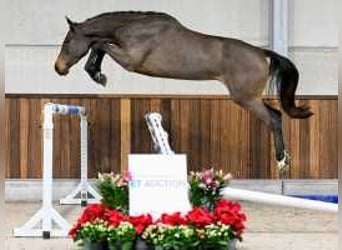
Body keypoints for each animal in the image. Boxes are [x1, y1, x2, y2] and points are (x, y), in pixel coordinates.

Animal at [53, 10, 312, 174]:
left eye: (67, 42)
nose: (58, 68)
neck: (133, 28)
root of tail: (262, 53)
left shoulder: (130, 60)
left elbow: (99, 44)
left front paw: (96, 73)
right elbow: (100, 45)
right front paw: (97, 72)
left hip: (245, 98)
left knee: (274, 118)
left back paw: (282, 162)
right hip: (250, 98)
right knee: (276, 113)